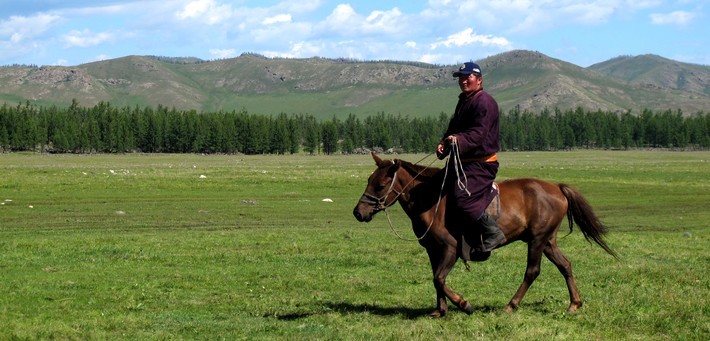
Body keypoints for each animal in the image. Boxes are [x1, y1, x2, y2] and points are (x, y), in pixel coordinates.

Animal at [354, 151, 620, 316]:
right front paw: (440, 311)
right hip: (548, 242)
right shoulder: (432, 250)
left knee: (532, 271)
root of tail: (556, 187)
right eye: (368, 180)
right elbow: (436, 279)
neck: (430, 200)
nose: (358, 212)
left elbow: (439, 279)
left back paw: (511, 306)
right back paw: (574, 304)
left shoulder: (450, 248)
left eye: (380, 185)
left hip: (537, 240)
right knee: (565, 265)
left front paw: (464, 304)